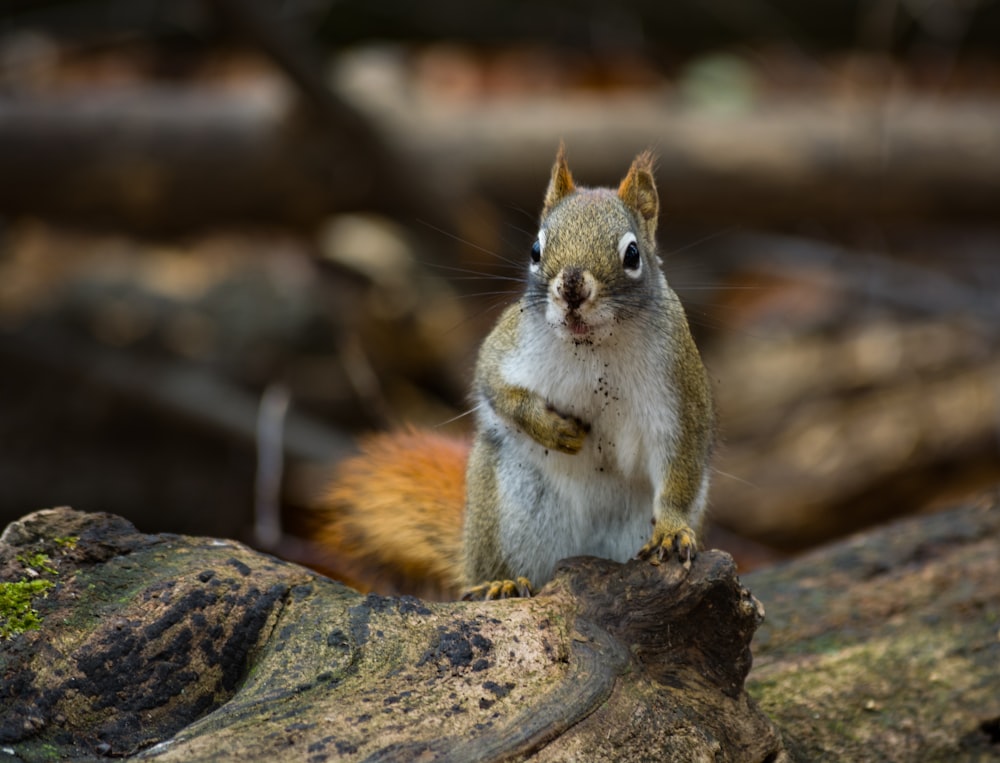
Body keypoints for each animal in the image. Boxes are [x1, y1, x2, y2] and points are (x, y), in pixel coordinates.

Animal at [316, 146, 716, 604]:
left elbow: (682, 463)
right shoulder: (507, 347)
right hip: (510, 506)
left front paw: (671, 531)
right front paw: (549, 428)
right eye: (535, 249)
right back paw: (499, 582)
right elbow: (493, 384)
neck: (592, 348)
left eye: (632, 254)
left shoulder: (679, 393)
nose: (572, 287)